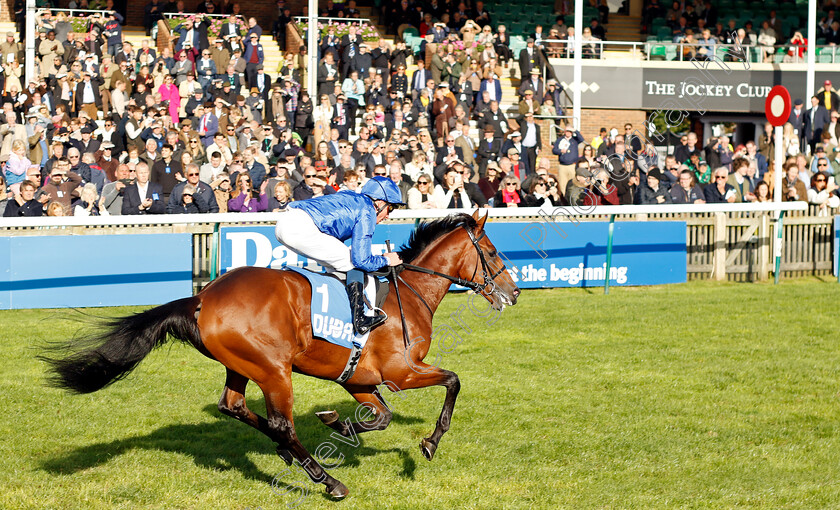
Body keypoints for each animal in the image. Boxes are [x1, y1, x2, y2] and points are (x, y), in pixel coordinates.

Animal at [44, 210, 520, 498]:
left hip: (242, 364)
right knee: (280, 423)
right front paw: (429, 442)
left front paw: (337, 421)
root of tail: (202, 298)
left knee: (233, 406)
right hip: (274, 369)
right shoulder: (402, 372)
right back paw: (328, 481)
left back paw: (292, 454)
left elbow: (380, 417)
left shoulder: (360, 379)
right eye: (492, 251)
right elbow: (453, 381)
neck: (413, 294)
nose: (514, 293)